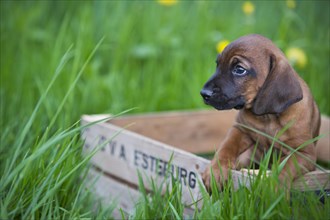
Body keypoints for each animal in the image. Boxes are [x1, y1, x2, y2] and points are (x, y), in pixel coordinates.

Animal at [200, 34, 320, 191]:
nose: (203, 93)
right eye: (217, 64)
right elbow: (226, 148)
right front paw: (215, 171)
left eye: (239, 69)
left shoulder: (303, 153)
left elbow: (285, 167)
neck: (267, 117)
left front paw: (274, 188)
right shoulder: (240, 129)